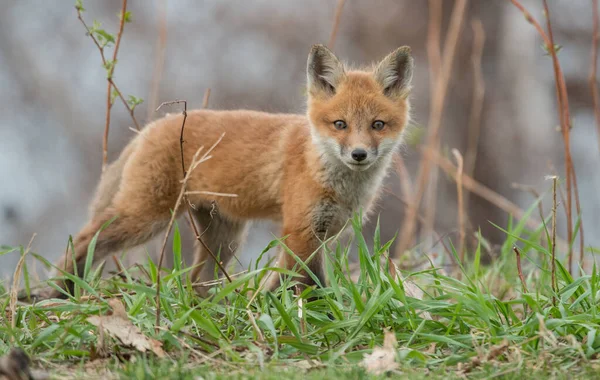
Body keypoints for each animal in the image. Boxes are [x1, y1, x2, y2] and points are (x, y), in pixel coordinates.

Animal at [29, 44, 412, 300]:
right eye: (340, 124)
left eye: (378, 125)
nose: (359, 154)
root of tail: (153, 125)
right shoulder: (300, 231)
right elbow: (300, 282)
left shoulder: (323, 235)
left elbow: (304, 280)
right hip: (146, 218)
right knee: (84, 239)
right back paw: (60, 292)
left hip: (223, 238)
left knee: (198, 281)